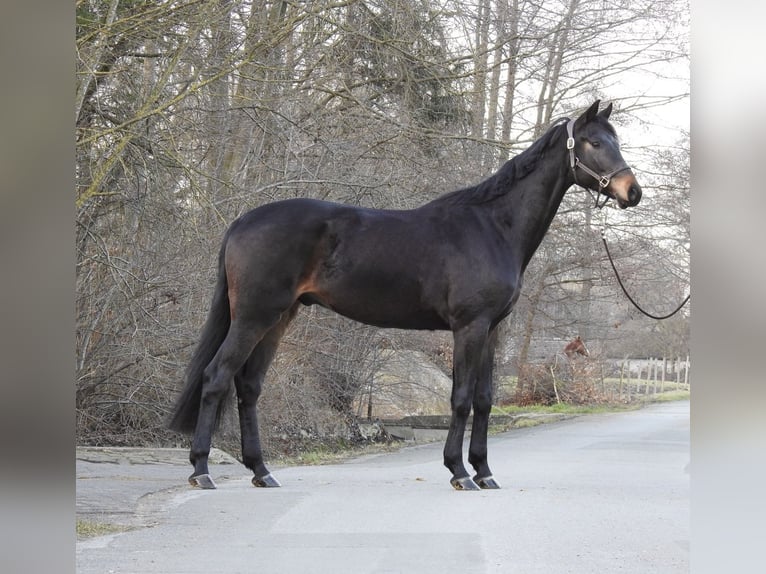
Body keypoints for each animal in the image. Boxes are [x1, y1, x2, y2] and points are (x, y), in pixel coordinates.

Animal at [168, 100, 642, 491]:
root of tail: (241, 221)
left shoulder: (491, 331)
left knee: (249, 386)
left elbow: (485, 400)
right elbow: (461, 399)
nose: (632, 192)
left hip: (279, 318)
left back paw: (262, 471)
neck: (492, 227)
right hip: (254, 316)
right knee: (216, 377)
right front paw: (458, 472)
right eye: (594, 142)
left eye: (617, 140)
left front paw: (485, 472)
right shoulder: (469, 328)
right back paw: (202, 470)